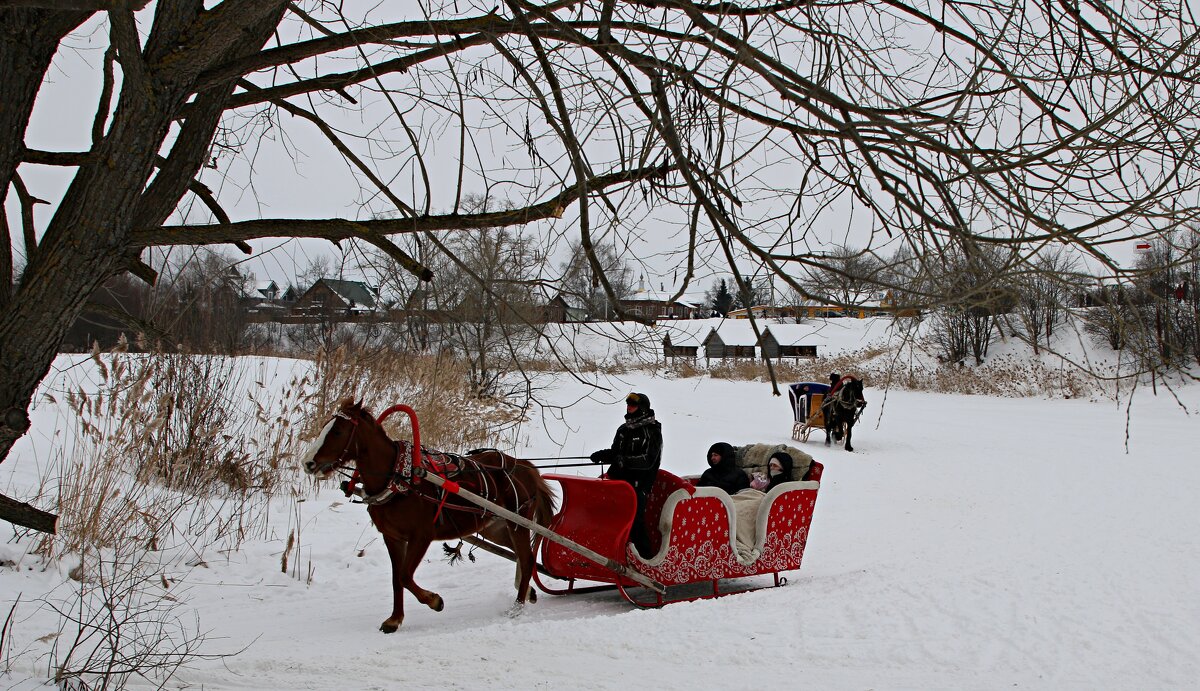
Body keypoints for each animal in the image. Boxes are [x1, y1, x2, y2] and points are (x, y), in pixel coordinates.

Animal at [304, 398, 556, 633]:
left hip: (517, 523)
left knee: (527, 558)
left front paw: (435, 601)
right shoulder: (393, 537)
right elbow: (396, 578)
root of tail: (525, 467)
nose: (308, 463)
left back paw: (518, 606)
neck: (398, 477)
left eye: (337, 431)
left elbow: (405, 576)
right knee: (522, 556)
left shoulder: (421, 536)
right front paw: (394, 620)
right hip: (496, 527)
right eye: (325, 426)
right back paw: (527, 591)